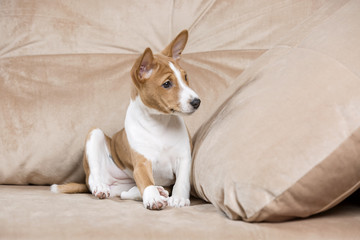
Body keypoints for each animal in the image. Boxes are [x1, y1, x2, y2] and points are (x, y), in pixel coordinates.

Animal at [50, 30, 201, 210]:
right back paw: (101, 187)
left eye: (186, 77)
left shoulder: (184, 158)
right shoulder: (142, 163)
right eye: (167, 84)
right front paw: (153, 198)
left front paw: (178, 198)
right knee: (95, 179)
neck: (160, 124)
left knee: (125, 193)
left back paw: (160, 190)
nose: (197, 102)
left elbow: (182, 181)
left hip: (123, 186)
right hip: (95, 135)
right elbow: (146, 182)